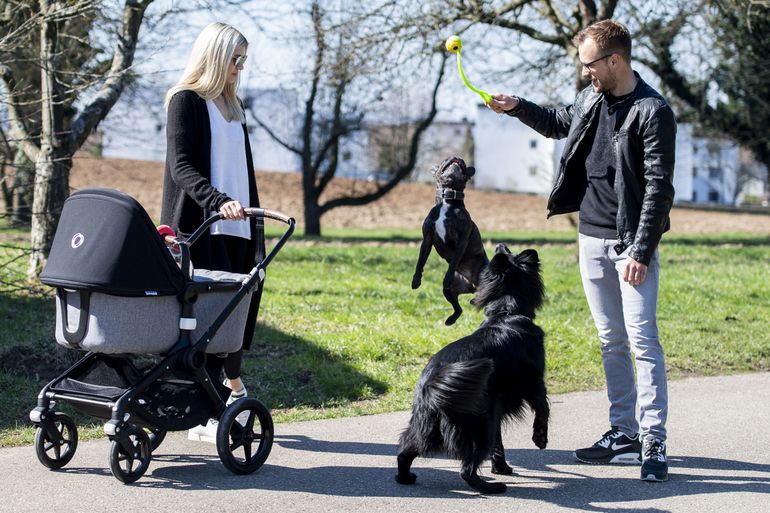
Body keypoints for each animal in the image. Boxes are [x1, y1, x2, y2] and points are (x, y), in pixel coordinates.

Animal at [396, 244, 544, 492]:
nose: (500, 245)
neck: (505, 313)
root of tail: (431, 386)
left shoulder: (495, 408)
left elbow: (499, 443)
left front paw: (501, 468)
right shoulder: (534, 381)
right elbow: (543, 407)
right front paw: (540, 438)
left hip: (430, 425)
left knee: (406, 450)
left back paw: (405, 477)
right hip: (477, 426)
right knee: (467, 469)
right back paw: (491, 488)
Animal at [408, 156, 486, 324]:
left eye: (463, 165)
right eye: (445, 160)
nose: (457, 157)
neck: (447, 200)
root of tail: (473, 286)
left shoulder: (461, 241)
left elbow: (454, 260)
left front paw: (447, 276)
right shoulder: (427, 240)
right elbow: (420, 261)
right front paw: (416, 280)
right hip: (450, 291)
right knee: (458, 308)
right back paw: (451, 319)